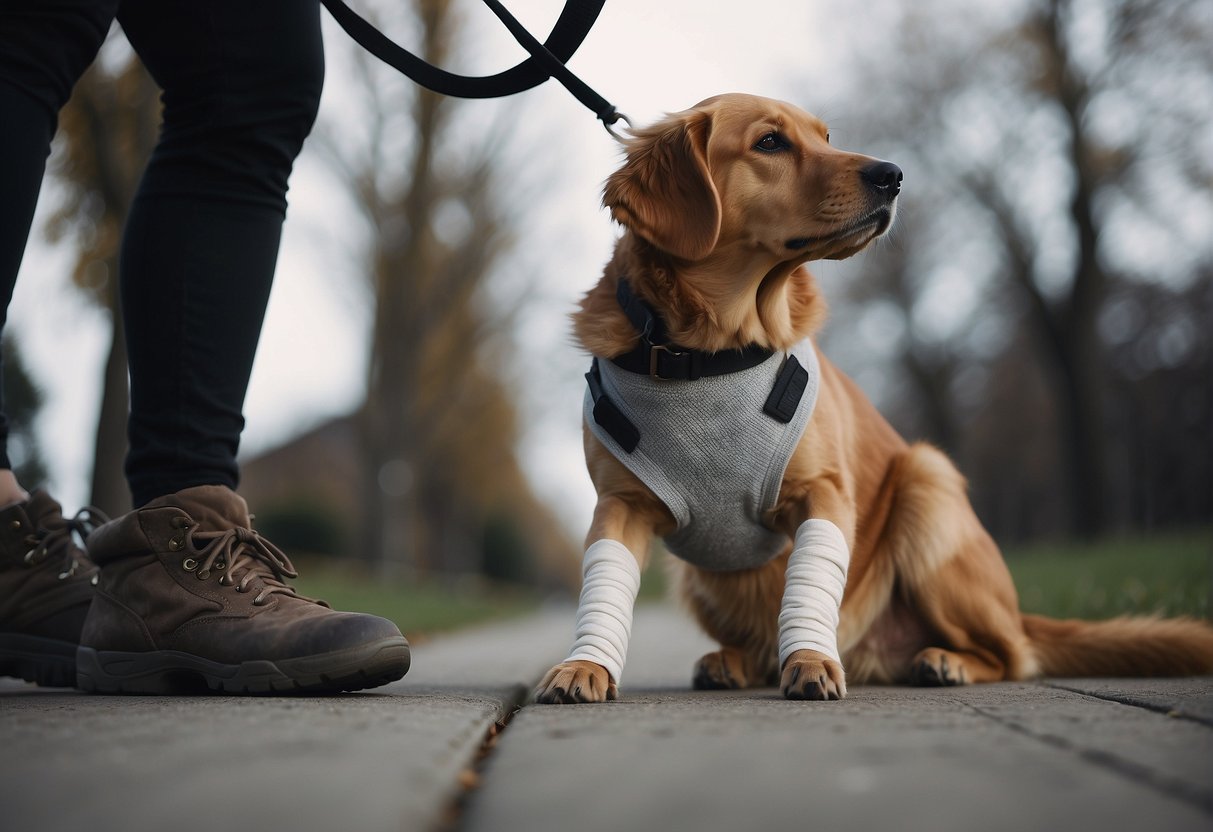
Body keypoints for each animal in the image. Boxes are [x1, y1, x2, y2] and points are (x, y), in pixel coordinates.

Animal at [536, 92, 1213, 703]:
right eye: (770, 142)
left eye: (827, 137)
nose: (892, 175)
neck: (708, 356)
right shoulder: (620, 507)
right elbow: (604, 589)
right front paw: (585, 665)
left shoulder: (824, 493)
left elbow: (808, 587)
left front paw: (811, 659)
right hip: (697, 578)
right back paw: (735, 661)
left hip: (927, 485)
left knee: (1011, 653)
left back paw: (942, 660)